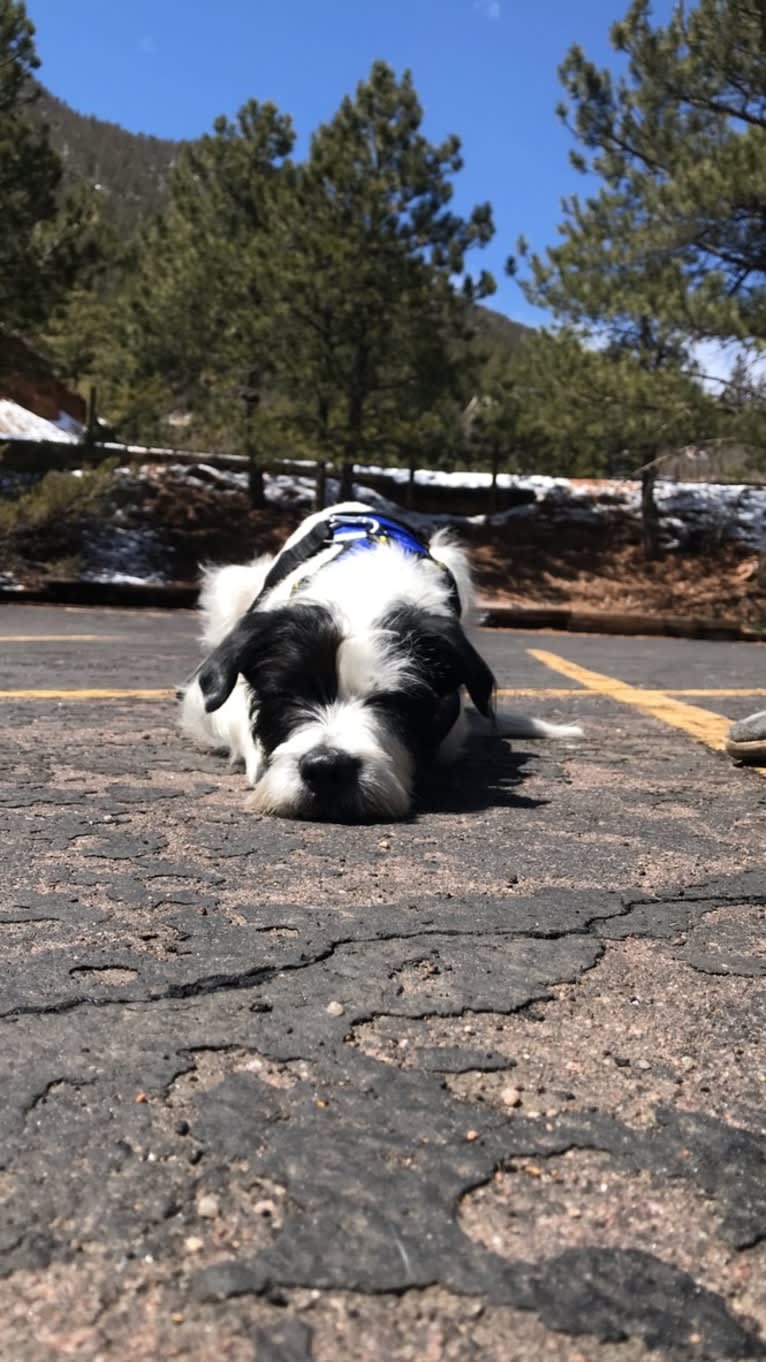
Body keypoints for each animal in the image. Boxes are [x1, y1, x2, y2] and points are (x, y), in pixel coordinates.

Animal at [177, 503, 577, 811]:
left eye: (398, 701)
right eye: (286, 694)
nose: (327, 769)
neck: (362, 593)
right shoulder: (210, 696)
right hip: (233, 586)